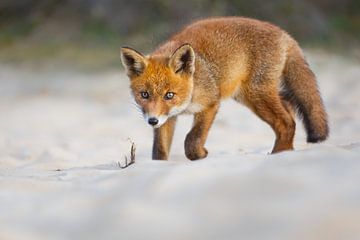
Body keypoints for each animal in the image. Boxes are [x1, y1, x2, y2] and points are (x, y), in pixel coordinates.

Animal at [119, 16, 328, 159]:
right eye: (144, 94)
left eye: (169, 95)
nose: (152, 121)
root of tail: (283, 33)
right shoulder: (168, 118)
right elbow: (160, 151)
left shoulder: (210, 104)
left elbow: (192, 140)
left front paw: (200, 154)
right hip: (247, 95)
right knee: (289, 104)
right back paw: (286, 151)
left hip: (256, 95)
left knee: (286, 122)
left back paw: (279, 154)